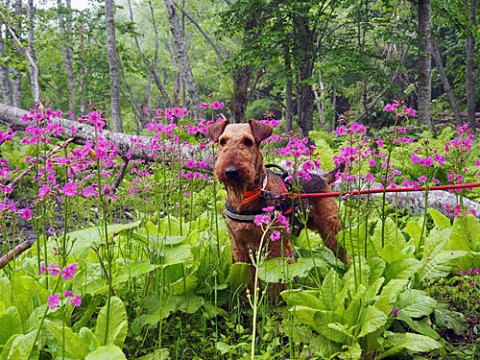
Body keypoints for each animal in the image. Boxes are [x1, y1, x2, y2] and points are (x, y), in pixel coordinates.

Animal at [206, 119, 348, 268]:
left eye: (248, 141)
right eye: (222, 141)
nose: (230, 171)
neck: (248, 196)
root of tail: (322, 177)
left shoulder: (276, 244)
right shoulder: (239, 247)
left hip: (332, 230)